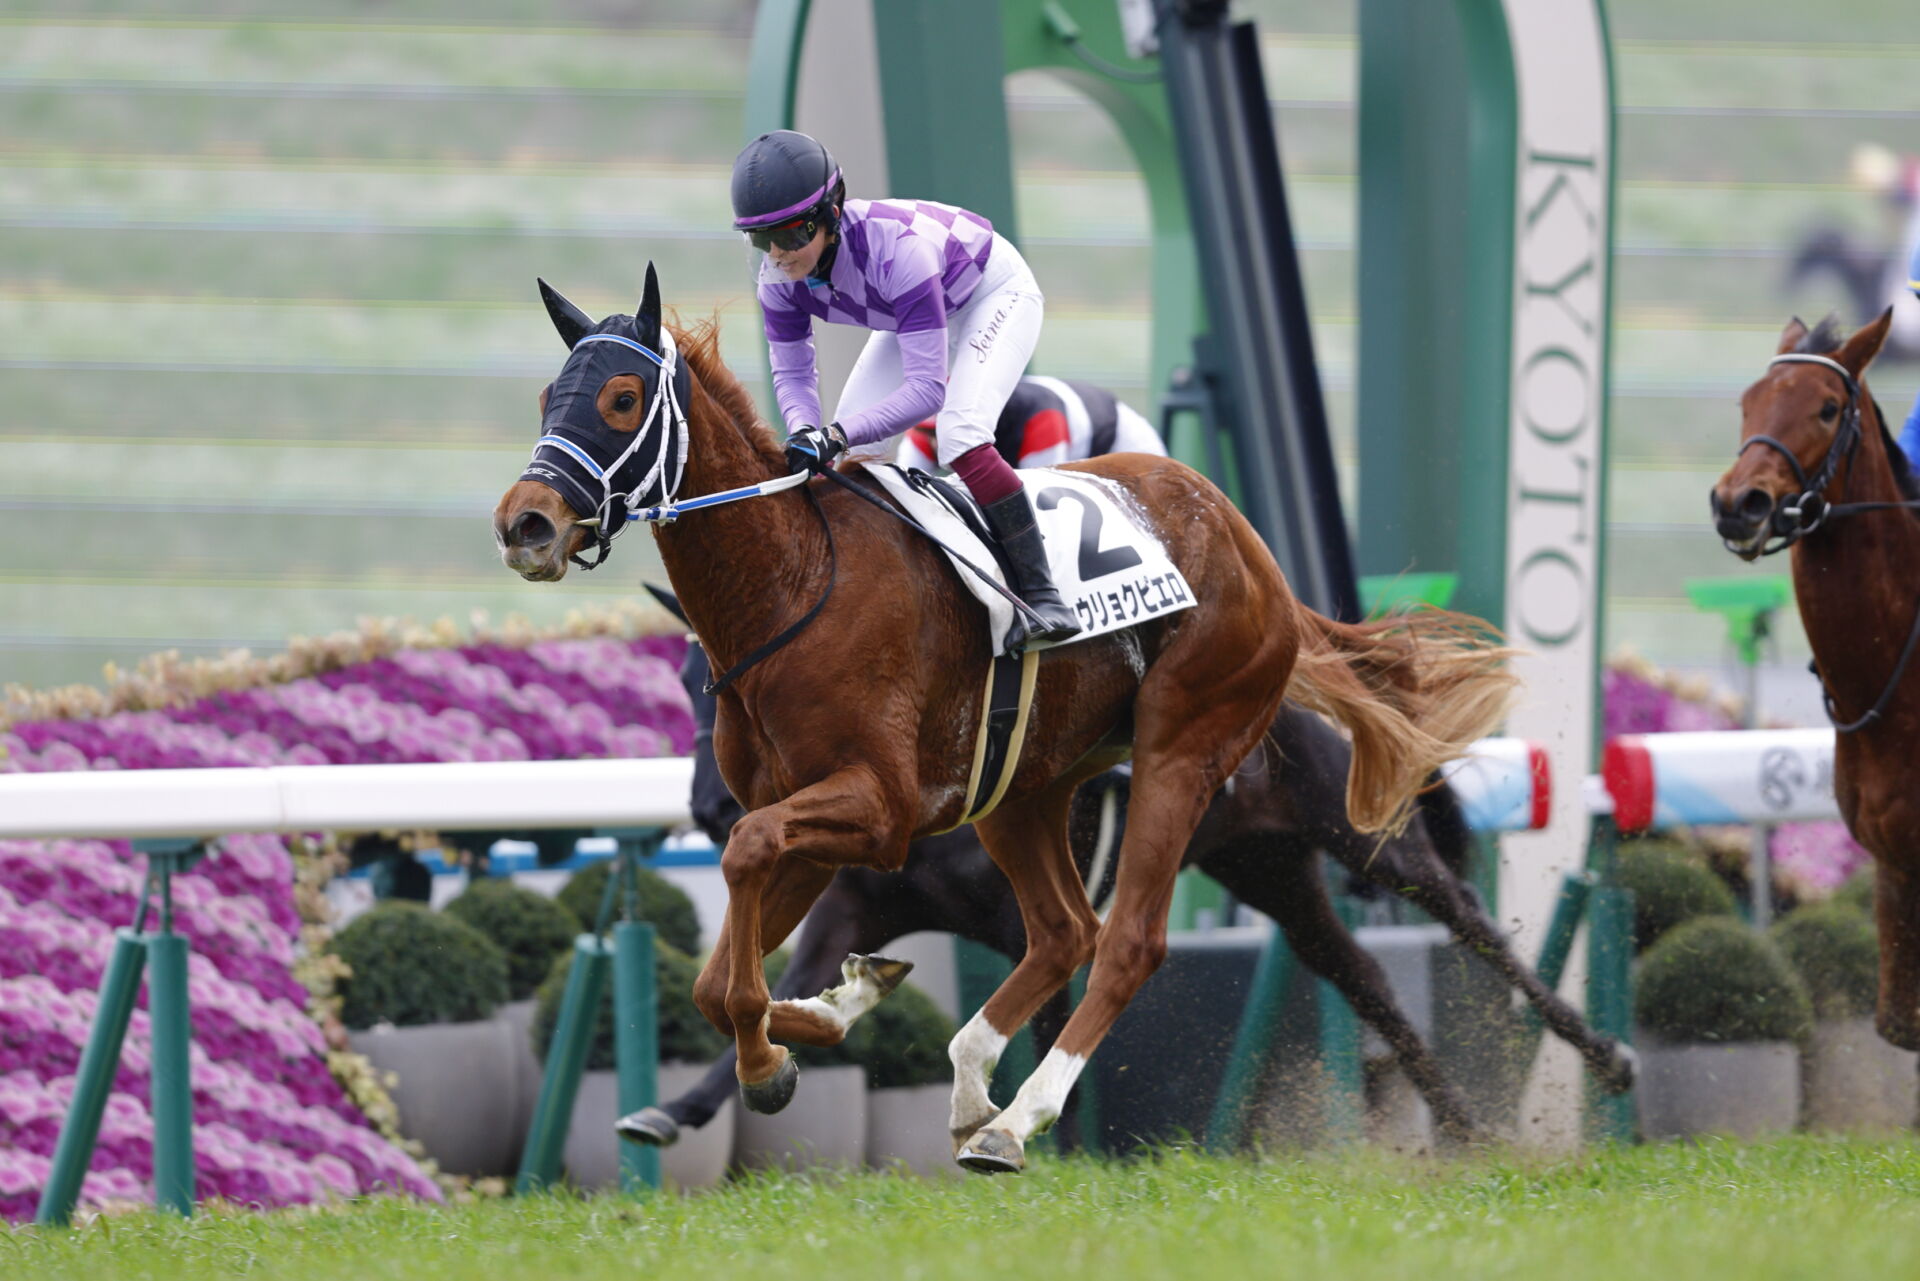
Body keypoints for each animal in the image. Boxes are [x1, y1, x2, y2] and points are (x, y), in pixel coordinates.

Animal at [493, 265, 1519, 1172]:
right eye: (547, 394)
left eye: (622, 396)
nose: (526, 523)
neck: (795, 581)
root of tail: (1246, 540)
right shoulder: (827, 835)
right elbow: (720, 976)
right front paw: (803, 1032)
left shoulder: (879, 803)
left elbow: (746, 861)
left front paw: (796, 1040)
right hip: (1068, 802)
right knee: (1086, 933)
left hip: (1213, 763)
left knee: (1142, 939)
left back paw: (1014, 1123)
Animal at [614, 639, 1634, 1151]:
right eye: (689, 684)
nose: (714, 806)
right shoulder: (855, 906)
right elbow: (770, 997)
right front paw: (682, 1107)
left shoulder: (1023, 917)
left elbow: (1038, 1013)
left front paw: (1034, 1137)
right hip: (1273, 872)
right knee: (1367, 983)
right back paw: (1462, 1122)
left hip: (1363, 840)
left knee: (1471, 923)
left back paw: (1606, 1057)